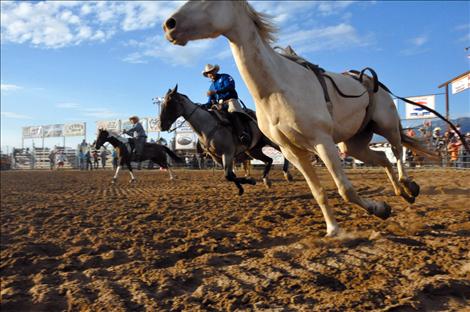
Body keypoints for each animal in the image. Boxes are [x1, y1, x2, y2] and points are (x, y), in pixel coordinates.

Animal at [162, 0, 434, 236]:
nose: (169, 25)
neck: (278, 87)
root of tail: (369, 80)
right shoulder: (292, 150)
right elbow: (318, 193)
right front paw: (336, 229)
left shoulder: (322, 142)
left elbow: (345, 189)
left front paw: (377, 210)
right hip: (354, 144)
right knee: (383, 158)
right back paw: (402, 193)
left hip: (386, 125)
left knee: (397, 151)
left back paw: (408, 185)